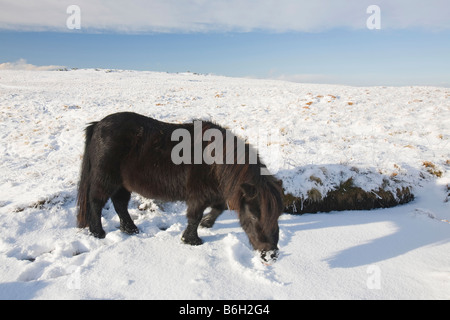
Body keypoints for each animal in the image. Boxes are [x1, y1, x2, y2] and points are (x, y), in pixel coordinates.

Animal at [76, 111, 284, 262]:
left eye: (278, 216)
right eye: (254, 216)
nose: (271, 254)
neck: (215, 162)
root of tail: (98, 124)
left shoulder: (217, 194)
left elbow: (218, 208)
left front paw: (207, 223)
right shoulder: (199, 196)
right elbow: (194, 217)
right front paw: (192, 240)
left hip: (122, 184)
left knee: (120, 204)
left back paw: (130, 229)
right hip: (106, 180)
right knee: (97, 202)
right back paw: (98, 232)